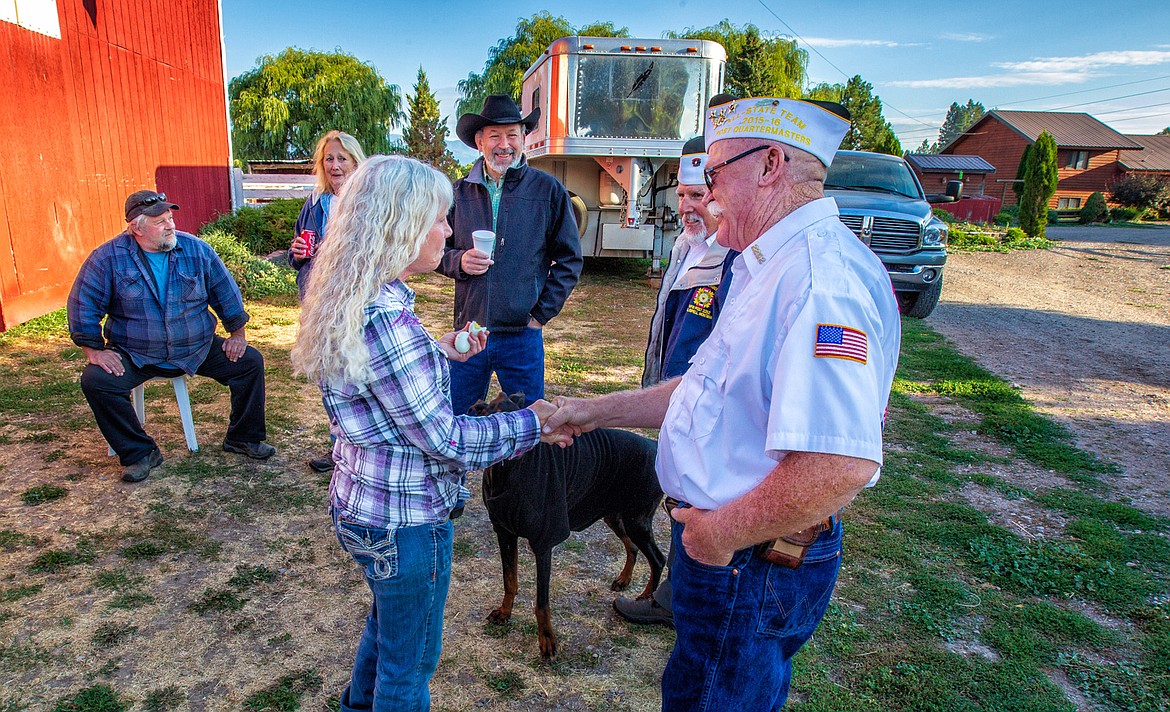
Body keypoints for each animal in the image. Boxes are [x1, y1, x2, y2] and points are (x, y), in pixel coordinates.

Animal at [467, 390, 669, 659]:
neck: (506, 472)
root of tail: (655, 446)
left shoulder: (543, 541)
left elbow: (542, 601)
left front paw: (547, 640)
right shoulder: (504, 532)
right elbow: (509, 580)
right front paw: (504, 613)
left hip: (636, 519)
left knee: (657, 559)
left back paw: (646, 598)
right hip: (616, 515)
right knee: (633, 547)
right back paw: (624, 580)